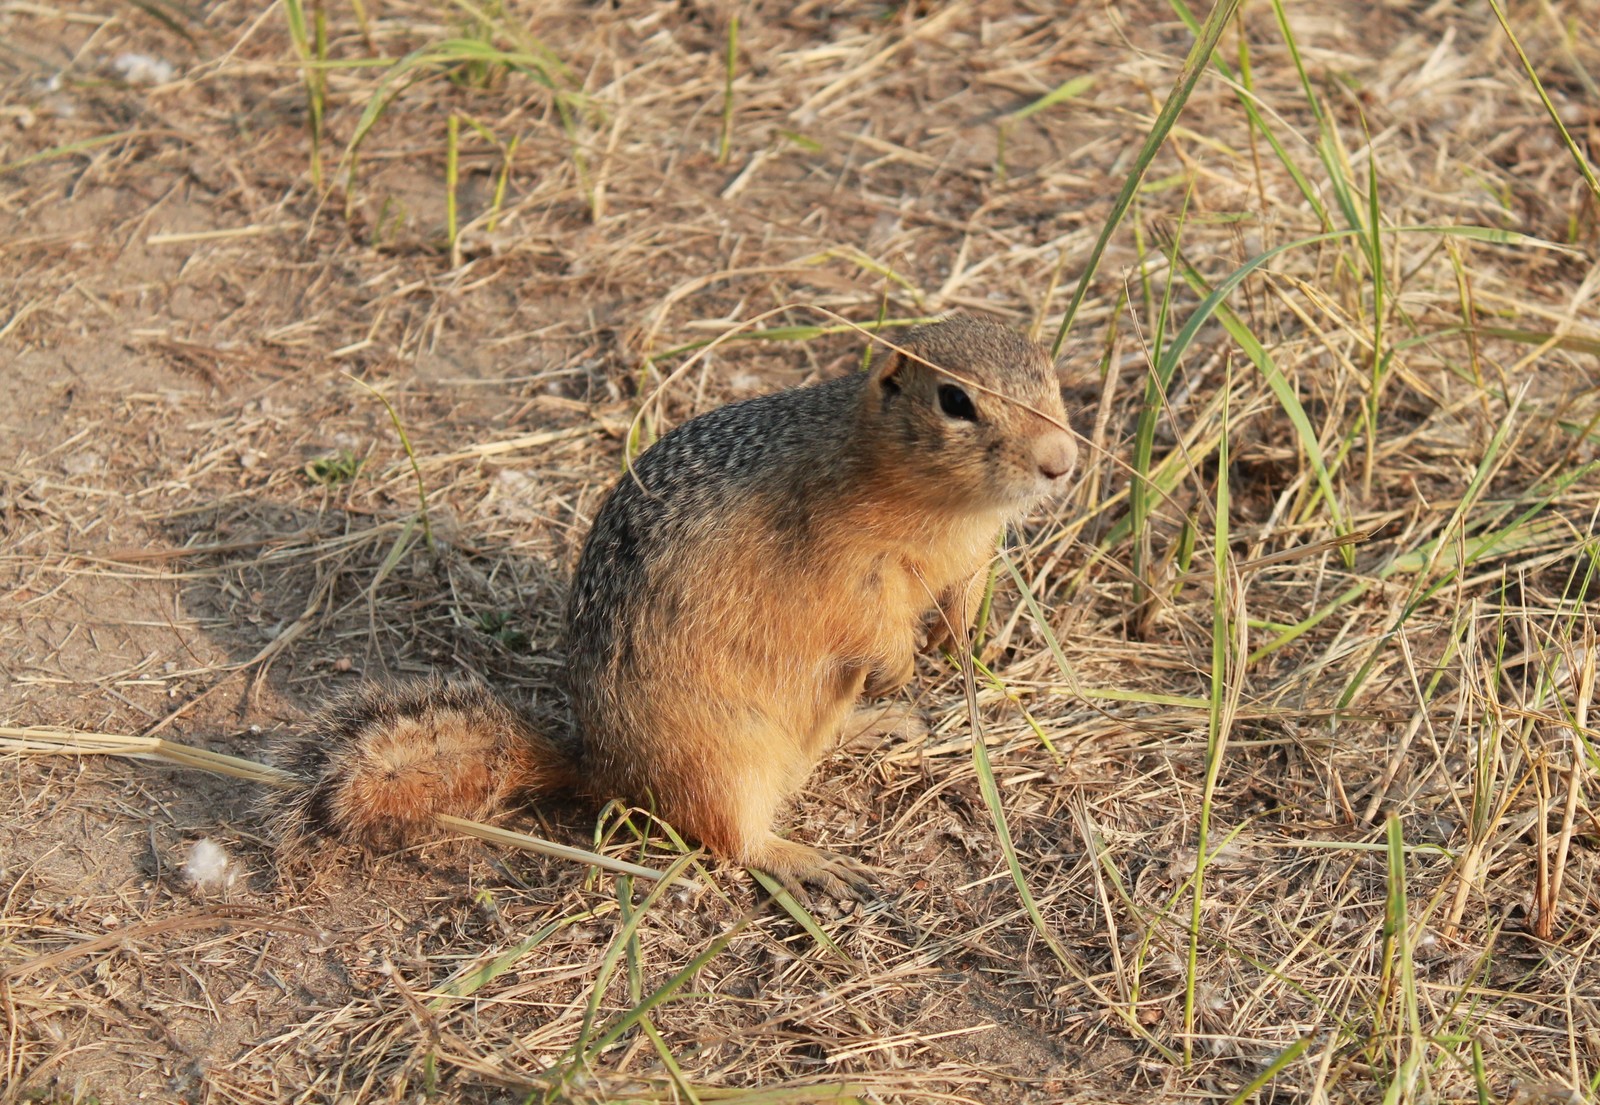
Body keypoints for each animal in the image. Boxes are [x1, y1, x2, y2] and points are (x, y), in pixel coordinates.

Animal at [268, 313, 1081, 901]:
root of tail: (602, 766)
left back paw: (874, 724)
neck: (944, 507)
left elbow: (964, 590)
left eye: (1050, 372)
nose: (1062, 462)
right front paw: (899, 664)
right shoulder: (847, 566)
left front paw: (961, 639)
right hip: (721, 759)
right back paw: (808, 859)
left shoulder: (973, 553)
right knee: (732, 838)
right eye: (955, 401)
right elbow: (865, 620)